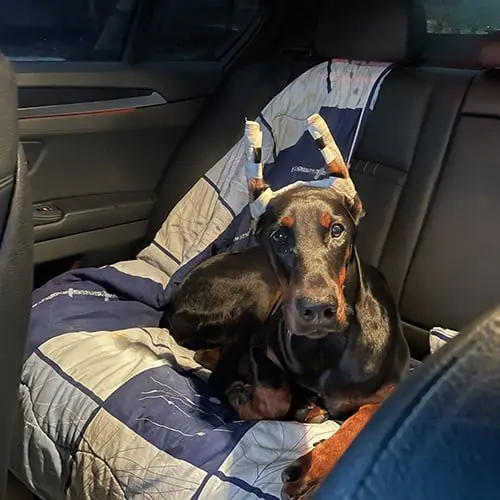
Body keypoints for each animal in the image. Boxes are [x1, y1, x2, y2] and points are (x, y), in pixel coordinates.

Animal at [162, 114, 409, 497]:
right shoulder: (262, 346)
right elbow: (273, 395)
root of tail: (174, 302)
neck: (326, 348)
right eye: (279, 235)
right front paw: (247, 396)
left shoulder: (395, 389)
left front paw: (313, 467)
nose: (317, 310)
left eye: (337, 230)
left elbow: (363, 418)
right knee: (213, 365)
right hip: (259, 293)